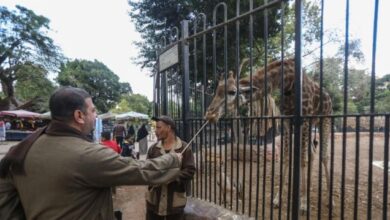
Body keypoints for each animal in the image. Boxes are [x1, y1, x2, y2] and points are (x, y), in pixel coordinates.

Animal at [204, 58, 332, 213]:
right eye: (216, 91)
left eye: (232, 92)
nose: (209, 115)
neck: (288, 83)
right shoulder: (287, 121)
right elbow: (287, 158)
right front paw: (277, 199)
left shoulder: (304, 119)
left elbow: (302, 160)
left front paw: (303, 204)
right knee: (312, 154)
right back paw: (309, 187)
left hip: (325, 119)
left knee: (323, 156)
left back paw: (328, 200)